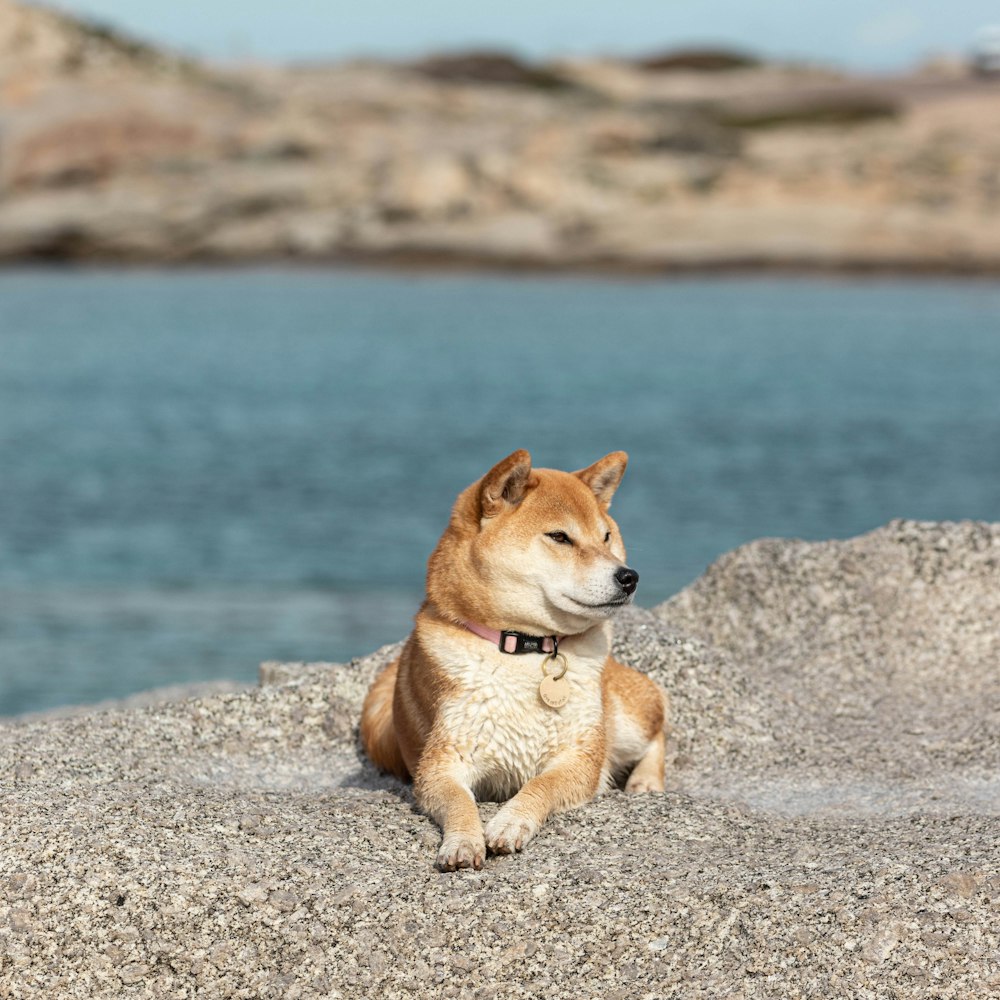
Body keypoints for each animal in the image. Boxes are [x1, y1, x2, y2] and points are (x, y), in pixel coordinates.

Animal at [356, 450, 668, 872]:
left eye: (606, 537)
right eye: (560, 537)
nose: (629, 576)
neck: (527, 647)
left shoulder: (580, 755)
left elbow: (540, 785)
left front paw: (511, 821)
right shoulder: (443, 761)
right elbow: (459, 801)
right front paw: (462, 841)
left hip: (624, 717)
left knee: (659, 723)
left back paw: (646, 781)